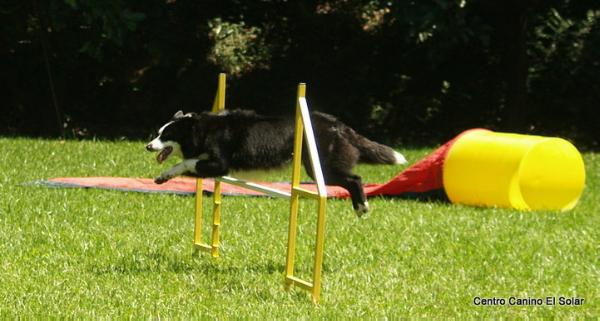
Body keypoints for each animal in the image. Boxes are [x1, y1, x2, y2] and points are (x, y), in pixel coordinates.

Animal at [146, 109, 408, 214]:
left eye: (166, 135)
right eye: (157, 133)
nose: (148, 146)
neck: (202, 130)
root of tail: (338, 124)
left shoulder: (220, 164)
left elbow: (187, 163)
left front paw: (165, 174)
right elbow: (185, 165)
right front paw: (163, 177)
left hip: (320, 167)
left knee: (355, 178)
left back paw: (362, 207)